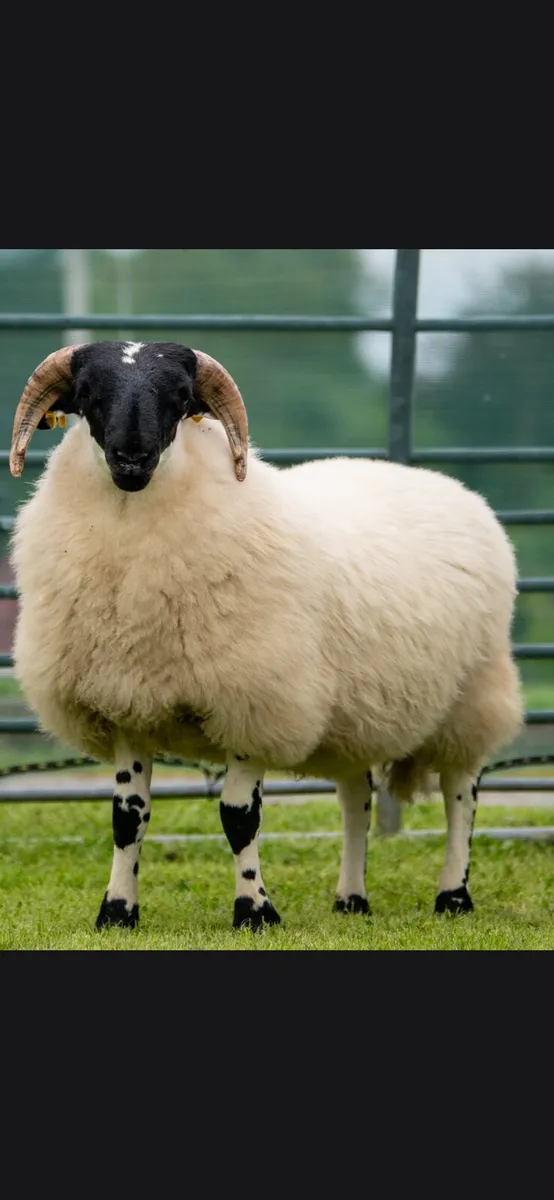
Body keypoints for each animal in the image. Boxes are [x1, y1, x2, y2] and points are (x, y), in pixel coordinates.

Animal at [9, 340, 524, 931]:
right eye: (88, 394)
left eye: (180, 398)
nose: (132, 459)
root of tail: (438, 481)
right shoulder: (127, 705)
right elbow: (128, 819)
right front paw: (117, 911)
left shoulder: (253, 704)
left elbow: (239, 818)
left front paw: (255, 910)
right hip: (356, 716)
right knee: (356, 800)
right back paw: (351, 899)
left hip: (471, 697)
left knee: (461, 796)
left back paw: (453, 896)